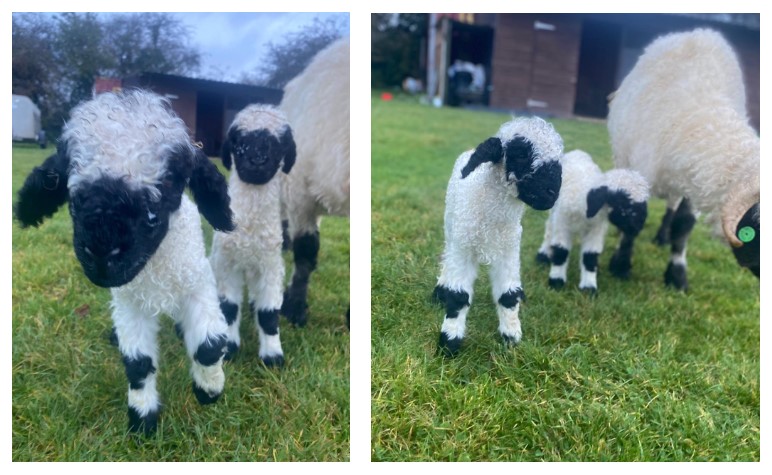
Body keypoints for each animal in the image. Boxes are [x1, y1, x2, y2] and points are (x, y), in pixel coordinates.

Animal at [14, 89, 235, 435]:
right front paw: (142, 419)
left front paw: (209, 390)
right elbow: (138, 364)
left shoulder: (198, 286)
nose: (102, 254)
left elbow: (209, 346)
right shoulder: (129, 304)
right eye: (69, 182)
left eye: (168, 182)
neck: (154, 269)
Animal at [211, 104, 295, 367]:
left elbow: (268, 314)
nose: (257, 161)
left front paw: (273, 356)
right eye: (238, 142)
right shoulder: (226, 265)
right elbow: (228, 308)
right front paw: (228, 349)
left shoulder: (271, 266)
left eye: (280, 144)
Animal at [433, 116, 563, 356]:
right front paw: (449, 343)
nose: (552, 193)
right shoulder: (464, 249)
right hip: (451, 226)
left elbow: (508, 296)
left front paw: (511, 338)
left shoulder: (508, 252)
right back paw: (440, 291)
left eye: (559, 158)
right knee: (447, 255)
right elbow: (458, 296)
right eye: (521, 154)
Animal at [535, 150, 649, 293]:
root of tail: (577, 151)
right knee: (549, 229)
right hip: (555, 212)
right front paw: (556, 282)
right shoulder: (563, 224)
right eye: (622, 203)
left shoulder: (596, 229)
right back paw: (543, 255)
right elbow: (561, 252)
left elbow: (590, 256)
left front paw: (588, 287)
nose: (637, 227)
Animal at [607, 28, 760, 290]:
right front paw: (620, 266)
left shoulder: (697, 182)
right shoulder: (642, 169)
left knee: (671, 206)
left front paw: (677, 276)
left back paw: (662, 237)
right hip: (623, 158)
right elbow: (635, 217)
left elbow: (683, 225)